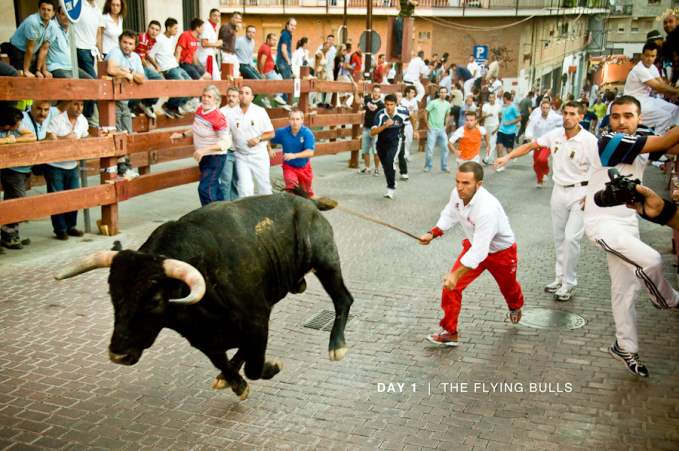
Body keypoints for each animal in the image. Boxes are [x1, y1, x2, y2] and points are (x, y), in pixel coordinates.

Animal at [55, 192, 354, 400]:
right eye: (112, 293)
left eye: (154, 301)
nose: (118, 354)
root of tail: (307, 203)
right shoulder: (203, 338)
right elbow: (225, 360)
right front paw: (234, 382)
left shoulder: (257, 321)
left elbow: (254, 366)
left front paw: (273, 367)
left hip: (326, 262)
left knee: (343, 299)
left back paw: (337, 346)